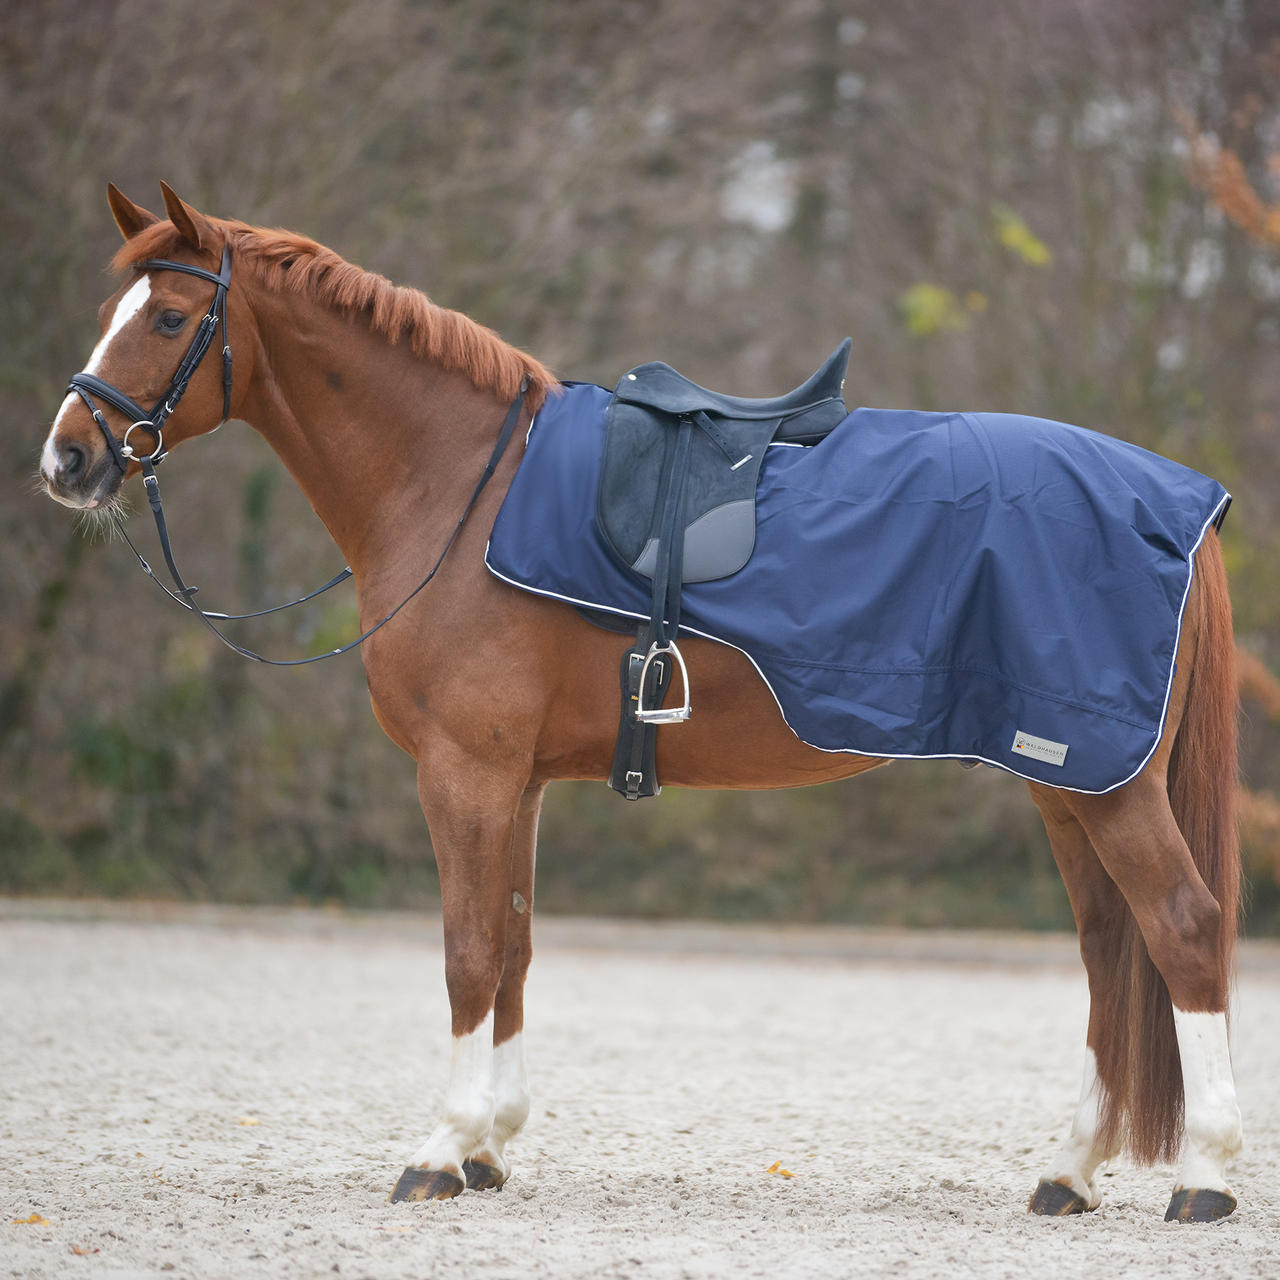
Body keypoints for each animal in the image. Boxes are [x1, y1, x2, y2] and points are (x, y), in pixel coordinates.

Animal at [40, 183, 1239, 1218]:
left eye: (171, 316)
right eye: (110, 312)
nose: (66, 459)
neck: (458, 486)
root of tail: (1178, 502)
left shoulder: (465, 772)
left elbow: (467, 951)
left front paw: (439, 1149)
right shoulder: (516, 782)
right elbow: (514, 947)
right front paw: (490, 1146)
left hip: (1103, 784)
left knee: (1181, 930)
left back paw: (1206, 1176)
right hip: (1063, 782)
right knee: (1108, 950)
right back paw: (1069, 1170)